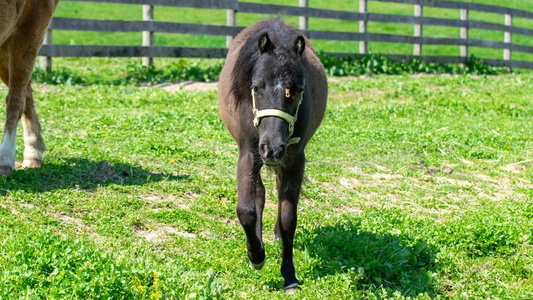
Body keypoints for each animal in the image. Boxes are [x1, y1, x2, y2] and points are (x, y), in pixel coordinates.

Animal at [217, 18, 326, 292]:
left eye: (296, 90)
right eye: (256, 88)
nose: (273, 148)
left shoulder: (295, 160)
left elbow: (288, 218)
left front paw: (289, 275)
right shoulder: (248, 153)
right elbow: (246, 209)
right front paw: (256, 256)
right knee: (259, 193)